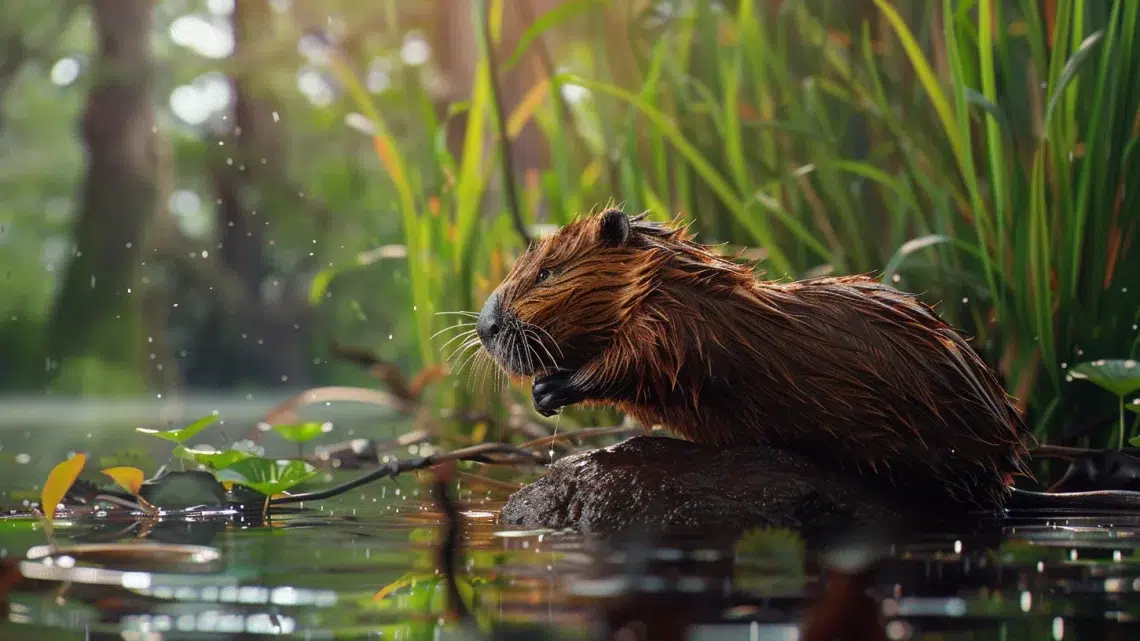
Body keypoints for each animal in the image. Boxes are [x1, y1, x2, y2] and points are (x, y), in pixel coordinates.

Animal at [471, 208, 1035, 508]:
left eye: (546, 272)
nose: (485, 326)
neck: (676, 280)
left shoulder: (682, 321)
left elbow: (640, 361)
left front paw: (552, 388)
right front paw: (543, 388)